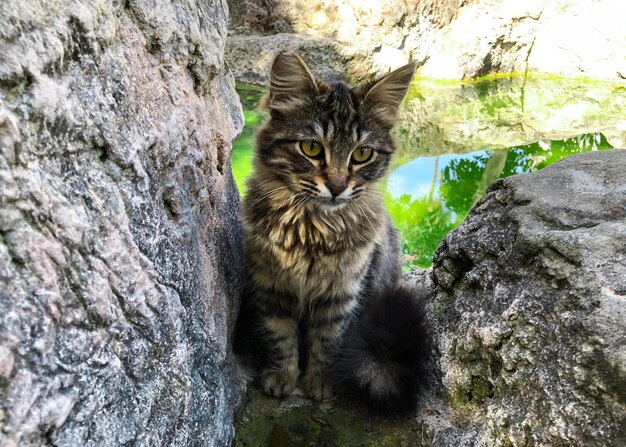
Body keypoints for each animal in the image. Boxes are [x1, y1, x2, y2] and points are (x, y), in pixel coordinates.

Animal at [235, 51, 428, 410]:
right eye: (311, 148)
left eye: (362, 154)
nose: (337, 187)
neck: (311, 229)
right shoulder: (271, 286)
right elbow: (280, 336)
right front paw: (283, 376)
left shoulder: (342, 293)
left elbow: (328, 340)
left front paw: (321, 381)